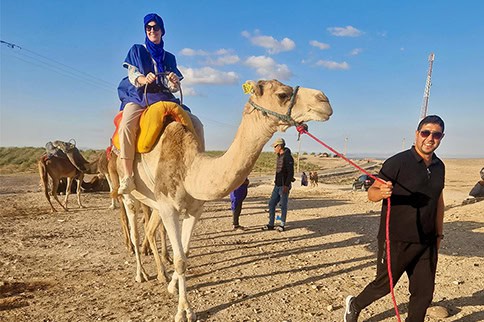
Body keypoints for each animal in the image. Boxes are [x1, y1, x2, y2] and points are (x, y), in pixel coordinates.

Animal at [116, 79, 332, 320]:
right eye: (282, 94)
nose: (324, 99)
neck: (190, 168)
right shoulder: (169, 207)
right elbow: (180, 260)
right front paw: (184, 311)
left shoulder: (194, 209)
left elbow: (185, 253)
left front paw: (175, 289)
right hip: (130, 191)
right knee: (135, 229)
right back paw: (142, 274)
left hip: (154, 202)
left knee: (151, 229)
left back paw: (164, 276)